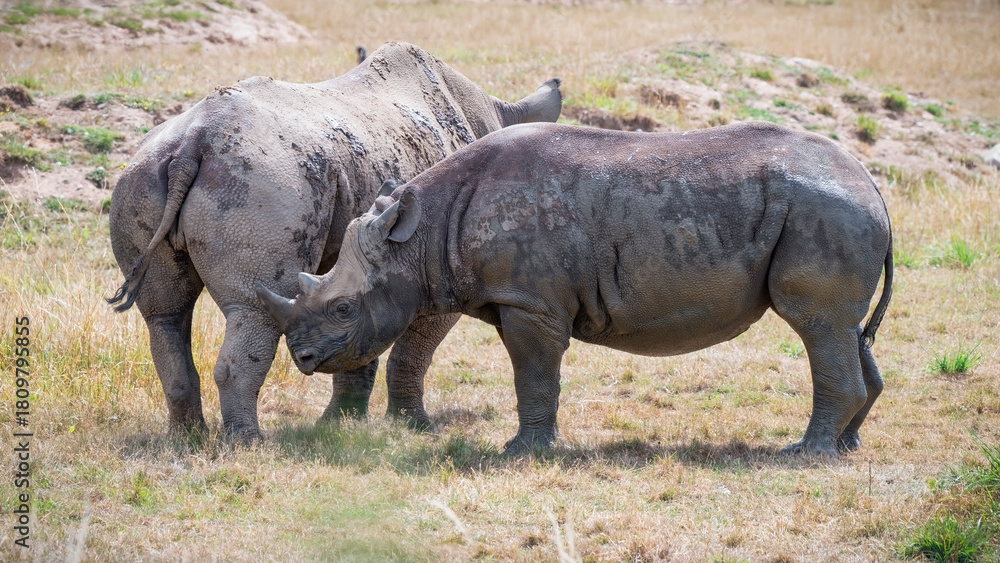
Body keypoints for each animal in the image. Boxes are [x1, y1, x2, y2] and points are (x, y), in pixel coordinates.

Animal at [108, 42, 563, 440]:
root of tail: (192, 143)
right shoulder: (435, 266)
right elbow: (412, 348)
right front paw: (413, 427)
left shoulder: (368, 270)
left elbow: (355, 339)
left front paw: (342, 423)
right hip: (263, 183)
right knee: (253, 308)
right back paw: (247, 443)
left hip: (143, 176)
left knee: (165, 314)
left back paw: (187, 439)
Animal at [257, 121, 894, 457]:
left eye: (343, 307)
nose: (303, 358)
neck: (419, 235)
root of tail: (872, 185)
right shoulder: (522, 298)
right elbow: (539, 374)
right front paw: (540, 447)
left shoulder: (529, 302)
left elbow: (533, 373)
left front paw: (521, 453)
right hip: (835, 211)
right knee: (845, 332)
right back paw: (847, 447)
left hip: (826, 211)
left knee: (816, 325)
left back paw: (805, 453)